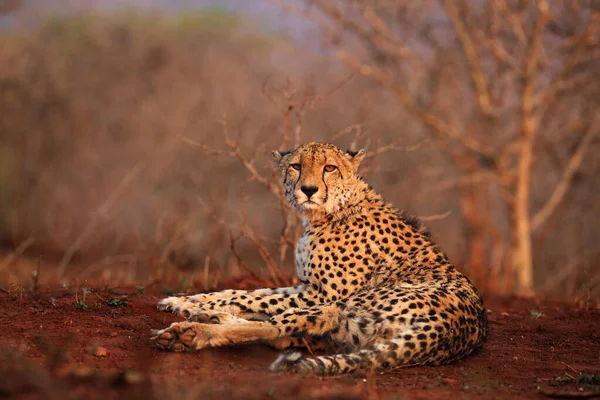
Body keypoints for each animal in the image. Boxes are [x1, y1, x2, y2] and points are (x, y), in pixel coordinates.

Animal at [150, 142, 488, 374]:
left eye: (330, 168)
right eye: (296, 166)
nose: (309, 190)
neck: (330, 211)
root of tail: (457, 331)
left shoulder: (321, 293)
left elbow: (256, 299)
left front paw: (196, 306)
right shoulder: (305, 286)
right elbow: (249, 292)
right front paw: (187, 301)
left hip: (343, 305)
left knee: (279, 328)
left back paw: (190, 333)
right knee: (292, 333)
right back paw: (206, 319)